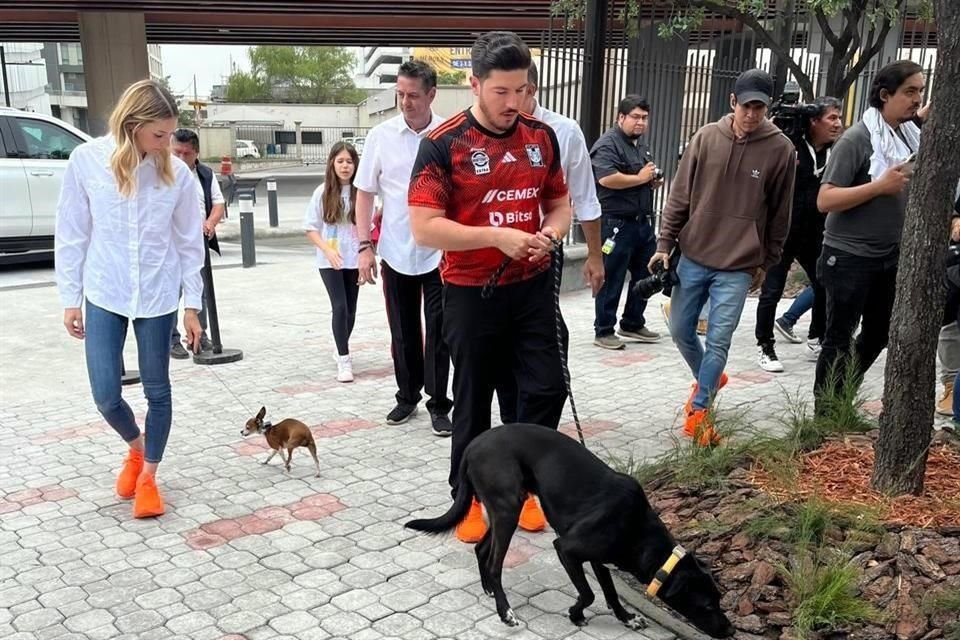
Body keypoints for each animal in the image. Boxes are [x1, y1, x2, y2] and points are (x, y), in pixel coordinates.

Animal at [406, 422, 736, 636]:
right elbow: (588, 594)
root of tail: (473, 444)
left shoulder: (600, 559)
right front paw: (576, 614)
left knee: (481, 548)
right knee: (494, 563)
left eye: (719, 600)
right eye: (708, 605)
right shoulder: (566, 549)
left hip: (505, 508)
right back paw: (505, 612)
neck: (637, 529)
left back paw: (487, 588)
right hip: (507, 508)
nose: (731, 630)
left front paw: (627, 618)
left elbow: (610, 593)